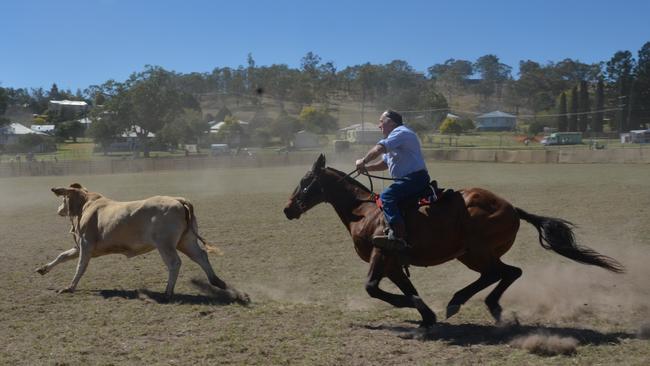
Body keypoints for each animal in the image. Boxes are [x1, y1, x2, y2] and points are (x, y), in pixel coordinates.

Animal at [36, 183, 248, 304]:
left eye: (64, 198)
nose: (58, 209)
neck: (86, 205)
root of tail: (179, 200)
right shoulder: (80, 247)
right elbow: (62, 256)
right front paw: (43, 269)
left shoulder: (86, 246)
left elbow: (80, 266)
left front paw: (70, 287)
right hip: (186, 241)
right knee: (201, 256)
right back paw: (218, 282)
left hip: (165, 244)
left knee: (174, 263)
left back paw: (167, 293)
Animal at [284, 156, 624, 328]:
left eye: (305, 181)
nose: (288, 209)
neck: (364, 211)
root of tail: (512, 208)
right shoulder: (393, 263)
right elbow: (407, 288)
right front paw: (425, 314)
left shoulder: (381, 255)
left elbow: (372, 288)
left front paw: (414, 307)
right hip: (472, 254)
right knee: (505, 273)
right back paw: (481, 305)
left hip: (476, 252)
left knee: (502, 273)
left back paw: (460, 302)